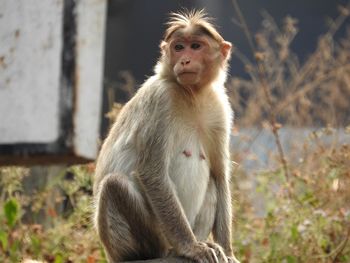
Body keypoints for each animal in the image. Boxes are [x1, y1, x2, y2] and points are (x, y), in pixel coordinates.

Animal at [93, 9, 241, 263]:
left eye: (196, 46)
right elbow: (151, 173)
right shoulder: (161, 99)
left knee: (212, 181)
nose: (185, 60)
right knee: (114, 184)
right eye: (179, 47)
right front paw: (191, 248)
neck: (191, 95)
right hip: (140, 238)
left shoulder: (220, 108)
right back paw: (162, 251)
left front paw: (228, 252)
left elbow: (220, 176)